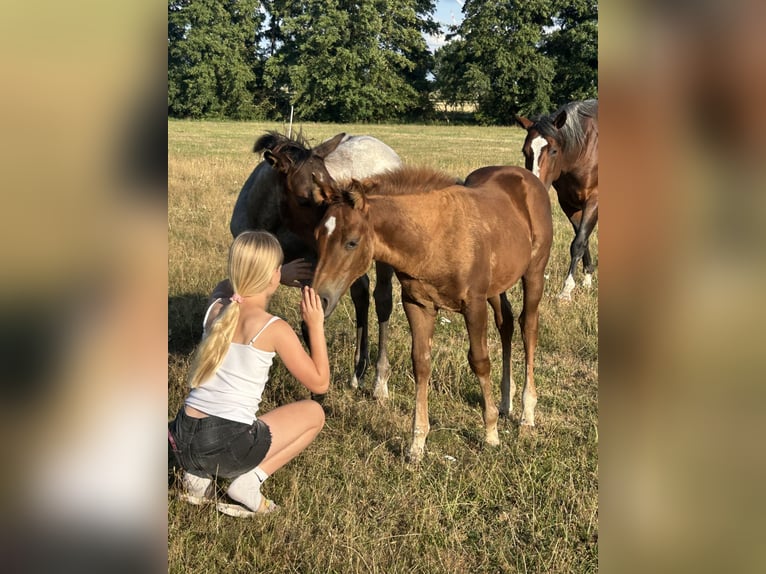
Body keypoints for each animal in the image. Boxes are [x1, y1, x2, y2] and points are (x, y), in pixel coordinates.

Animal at [230, 131, 402, 396]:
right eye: (303, 200)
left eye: (334, 187)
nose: (330, 236)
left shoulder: (314, 273)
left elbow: (309, 323)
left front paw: (317, 390)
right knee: (360, 293)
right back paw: (357, 373)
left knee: (383, 299)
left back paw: (379, 381)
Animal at [311, 165, 553, 462]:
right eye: (317, 236)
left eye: (352, 242)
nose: (319, 299)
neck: (433, 238)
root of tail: (527, 177)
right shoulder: (417, 304)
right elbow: (421, 363)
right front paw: (417, 445)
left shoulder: (473, 304)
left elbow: (480, 361)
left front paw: (491, 433)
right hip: (497, 285)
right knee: (505, 323)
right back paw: (506, 400)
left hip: (534, 274)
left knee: (528, 327)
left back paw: (526, 414)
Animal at [516, 99, 598, 301]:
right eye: (525, 151)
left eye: (553, 150)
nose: (534, 186)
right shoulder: (568, 204)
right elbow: (583, 239)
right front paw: (587, 279)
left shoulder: (594, 200)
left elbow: (578, 243)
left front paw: (566, 290)